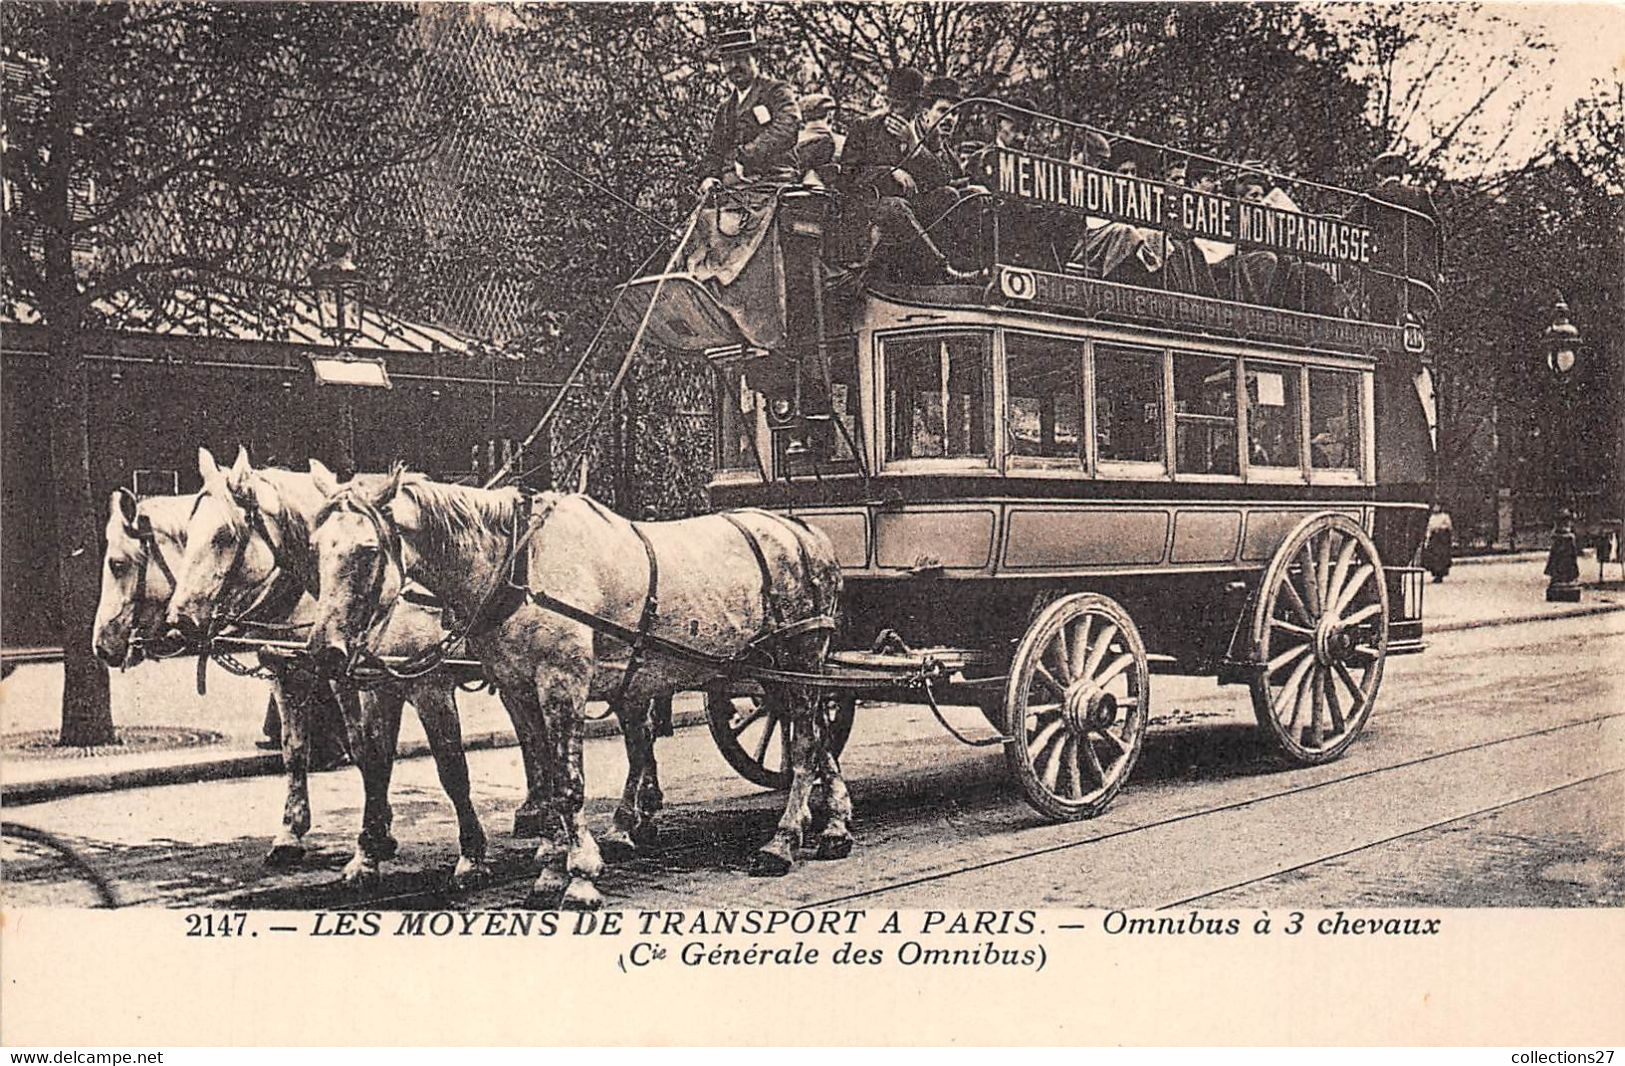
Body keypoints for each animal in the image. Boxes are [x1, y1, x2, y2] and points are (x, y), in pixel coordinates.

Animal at [308, 468, 858, 910]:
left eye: (368, 551)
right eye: (315, 548)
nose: (324, 650)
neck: (520, 566)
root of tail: (805, 531)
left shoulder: (558, 684)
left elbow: (565, 784)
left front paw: (579, 877)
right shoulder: (517, 689)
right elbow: (545, 779)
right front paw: (552, 867)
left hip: (802, 655)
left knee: (804, 746)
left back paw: (782, 841)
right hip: (773, 672)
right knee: (814, 739)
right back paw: (833, 826)